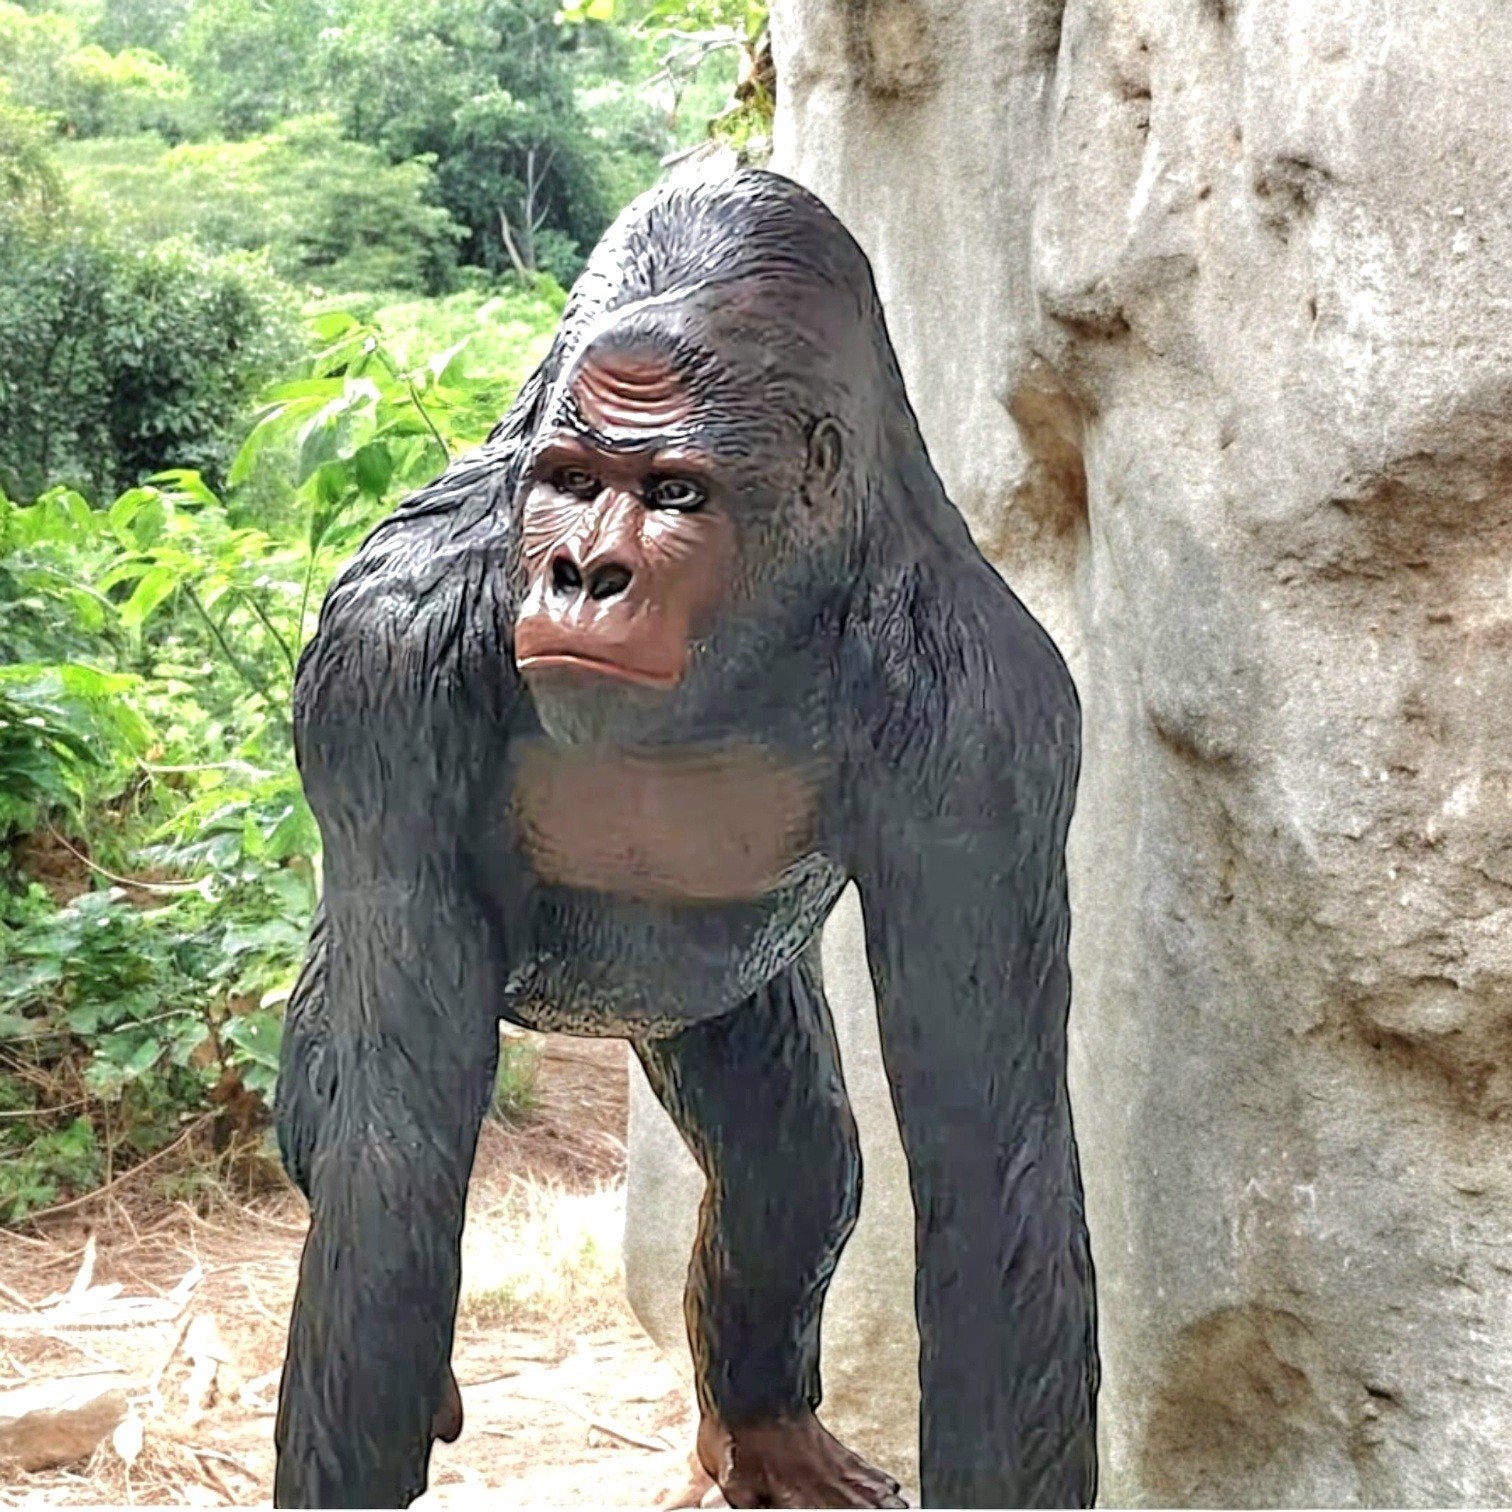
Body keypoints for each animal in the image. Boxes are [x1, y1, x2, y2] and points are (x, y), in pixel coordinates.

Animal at [272, 167, 1098, 1511]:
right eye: (568, 479)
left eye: (673, 494)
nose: (580, 572)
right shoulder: (380, 661)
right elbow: (389, 1163)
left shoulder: (989, 720)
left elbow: (991, 1170)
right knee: (326, 1117)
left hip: (714, 1006)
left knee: (790, 1163)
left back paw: (762, 1430)